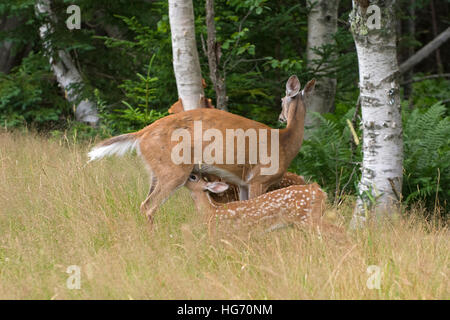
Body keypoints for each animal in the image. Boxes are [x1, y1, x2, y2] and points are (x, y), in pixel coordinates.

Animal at [87, 76, 312, 224]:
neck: (285, 142)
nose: (281, 117)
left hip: (156, 171)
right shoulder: (259, 178)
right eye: (281, 100)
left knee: (144, 204)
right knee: (149, 206)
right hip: (173, 171)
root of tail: (141, 134)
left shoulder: (243, 182)